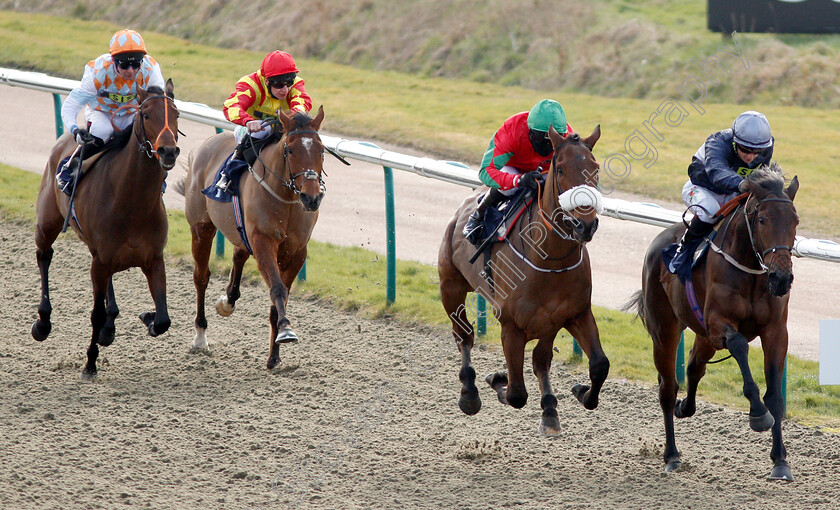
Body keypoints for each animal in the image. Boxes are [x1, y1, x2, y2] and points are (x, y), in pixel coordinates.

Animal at [32, 81, 180, 378]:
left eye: (176, 114)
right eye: (146, 114)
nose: (168, 151)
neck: (131, 202)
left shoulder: (153, 259)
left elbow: (163, 319)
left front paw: (146, 317)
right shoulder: (100, 261)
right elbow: (95, 313)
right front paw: (89, 363)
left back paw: (109, 327)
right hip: (48, 222)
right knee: (44, 255)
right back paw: (42, 322)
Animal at [182, 107, 326, 370]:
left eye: (321, 150)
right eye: (290, 150)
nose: (311, 198)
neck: (285, 198)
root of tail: (208, 144)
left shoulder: (296, 252)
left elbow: (280, 299)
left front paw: (274, 356)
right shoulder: (263, 242)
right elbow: (277, 290)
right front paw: (286, 331)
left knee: (238, 255)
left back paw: (227, 301)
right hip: (201, 227)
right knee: (201, 277)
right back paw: (200, 336)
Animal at [440, 124, 612, 434]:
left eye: (595, 168)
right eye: (560, 169)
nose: (585, 224)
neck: (551, 259)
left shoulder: (571, 314)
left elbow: (597, 365)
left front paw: (577, 395)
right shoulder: (511, 326)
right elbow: (516, 394)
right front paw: (498, 378)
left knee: (540, 361)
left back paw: (548, 408)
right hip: (451, 287)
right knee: (464, 335)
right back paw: (469, 393)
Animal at [632, 164, 800, 482]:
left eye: (795, 221)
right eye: (762, 219)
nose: (781, 277)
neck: (750, 270)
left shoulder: (775, 332)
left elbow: (775, 397)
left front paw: (781, 462)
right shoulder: (718, 324)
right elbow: (739, 345)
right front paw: (758, 414)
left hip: (702, 336)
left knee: (694, 368)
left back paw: (684, 407)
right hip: (665, 330)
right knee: (667, 387)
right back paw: (671, 455)